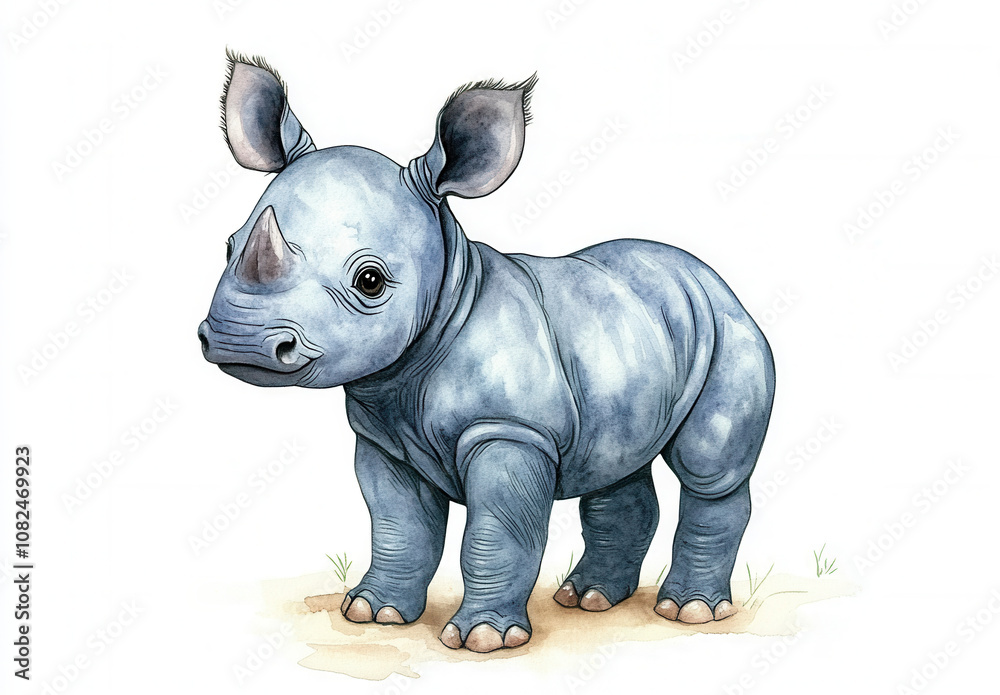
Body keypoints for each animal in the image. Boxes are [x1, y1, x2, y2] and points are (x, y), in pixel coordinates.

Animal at [198, 52, 775, 653]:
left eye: (371, 281)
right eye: (229, 247)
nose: (239, 342)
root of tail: (709, 275)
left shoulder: (509, 429)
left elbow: (496, 533)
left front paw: (484, 639)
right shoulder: (383, 435)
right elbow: (399, 527)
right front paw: (374, 614)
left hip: (727, 331)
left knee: (710, 470)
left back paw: (689, 611)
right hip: (634, 342)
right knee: (618, 462)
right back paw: (587, 599)